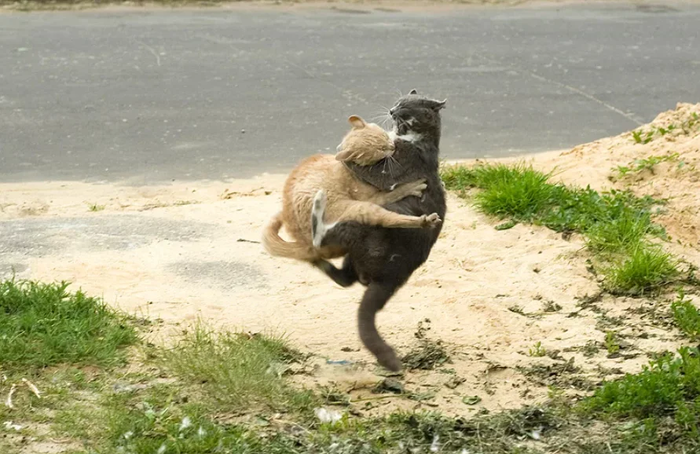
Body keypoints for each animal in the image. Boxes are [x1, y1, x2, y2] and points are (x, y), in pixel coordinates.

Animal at [262, 114, 438, 262]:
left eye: (384, 137)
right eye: (380, 150)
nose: (392, 147)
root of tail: (309, 246)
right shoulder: (374, 198)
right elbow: (395, 191)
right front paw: (414, 186)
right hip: (360, 208)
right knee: (389, 219)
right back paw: (425, 220)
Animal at [314, 90, 448, 370]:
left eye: (405, 108)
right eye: (398, 102)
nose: (391, 111)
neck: (411, 138)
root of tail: (391, 277)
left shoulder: (396, 166)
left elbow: (369, 169)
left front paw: (343, 152)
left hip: (365, 226)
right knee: (345, 278)